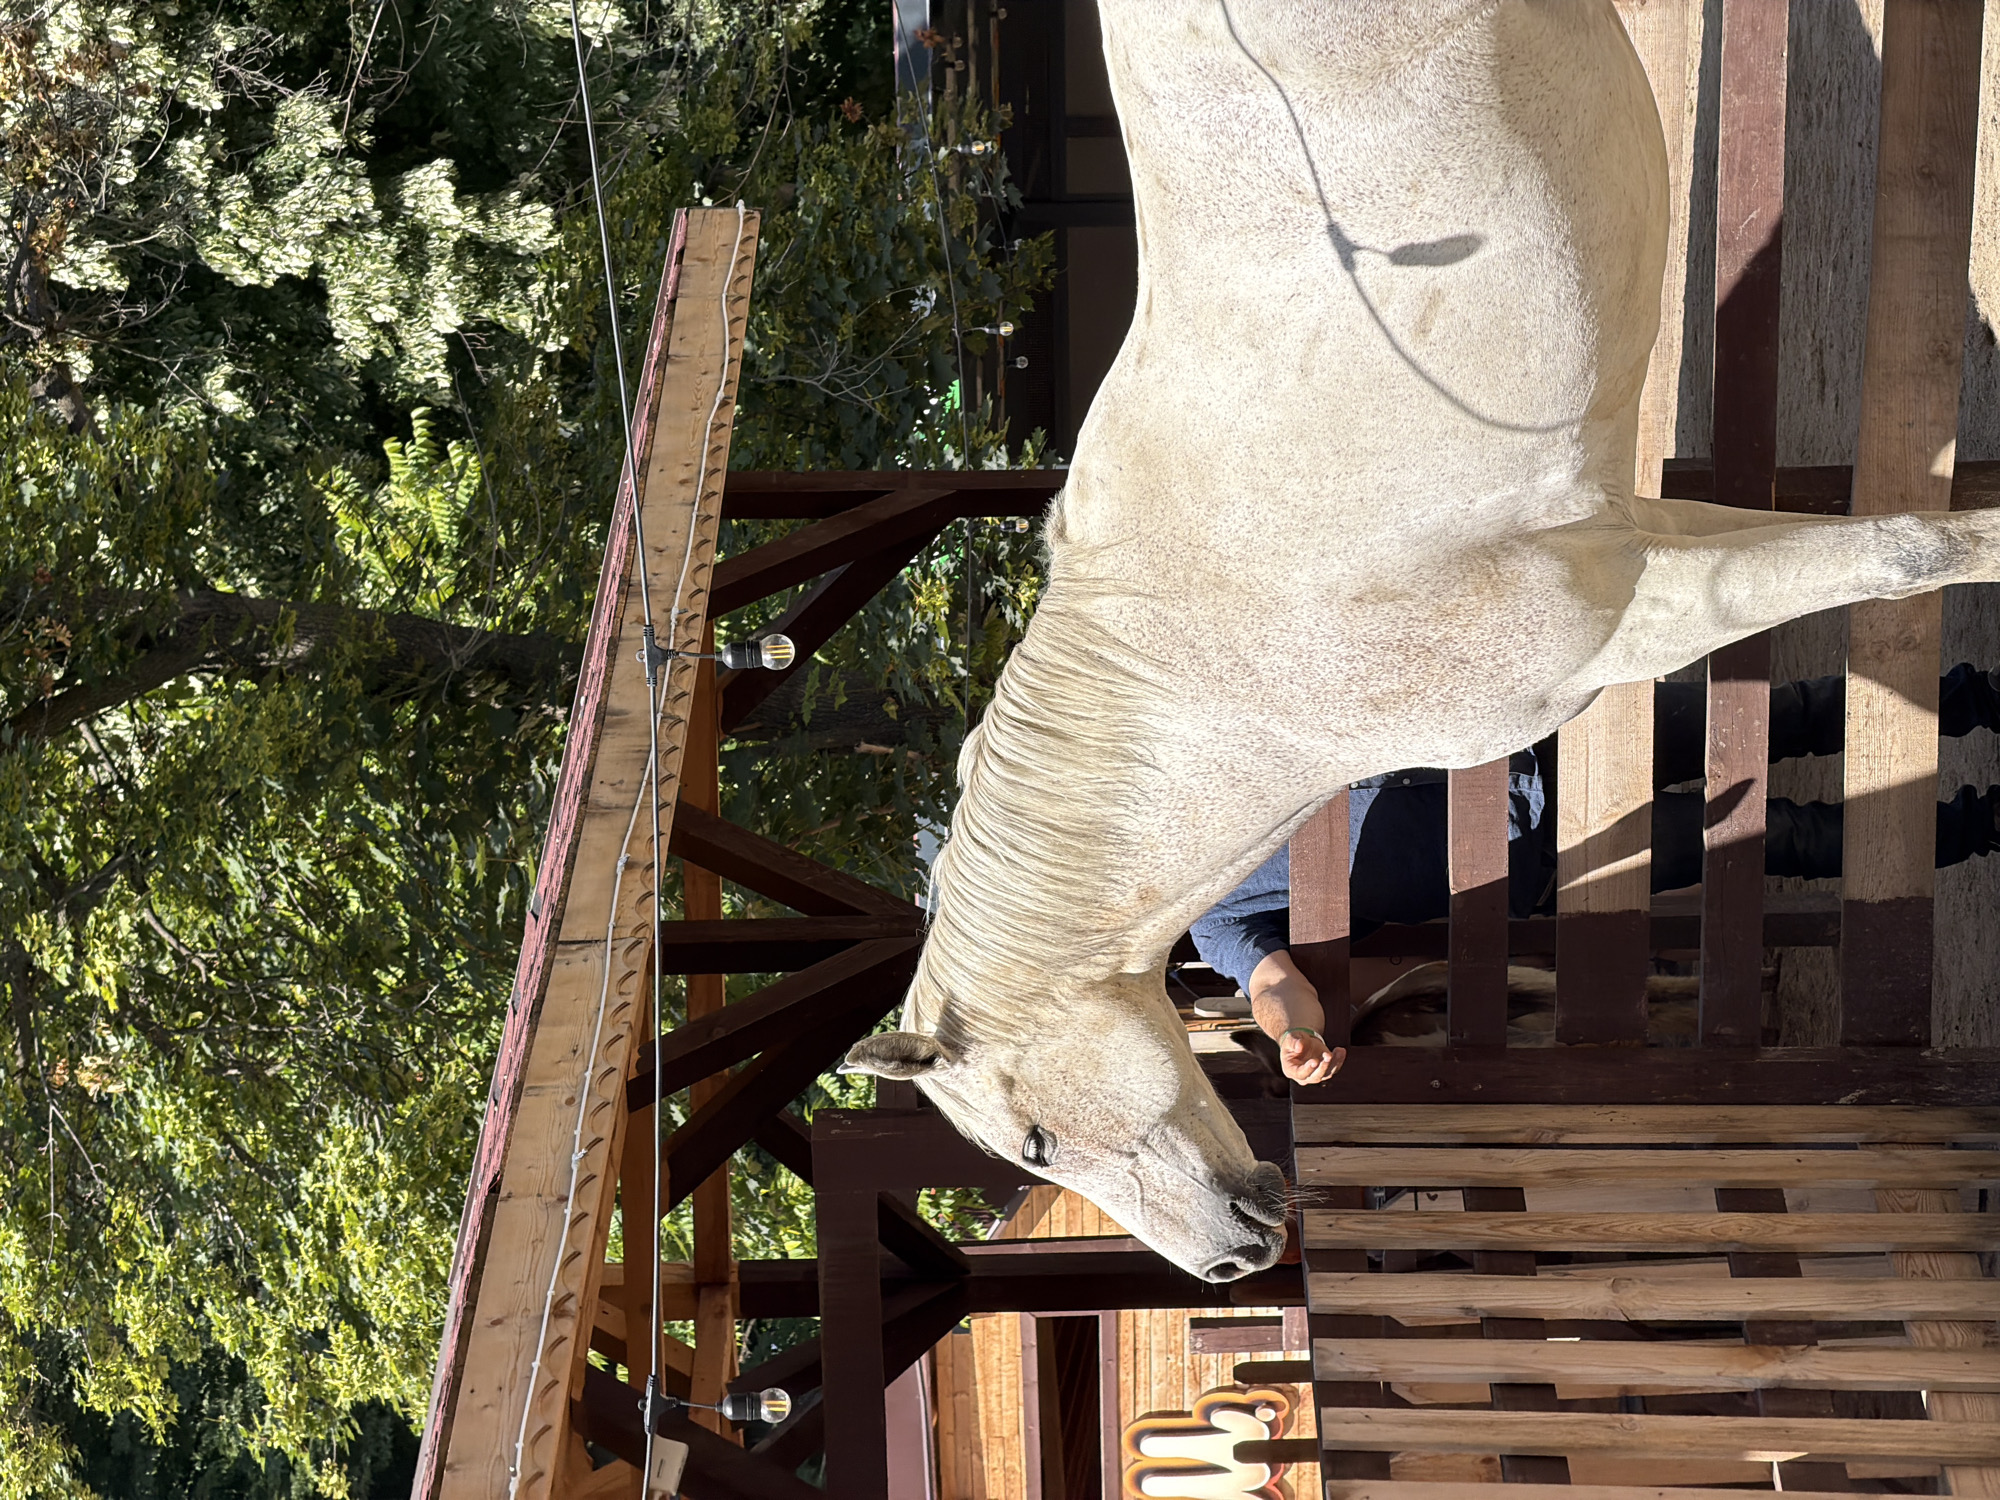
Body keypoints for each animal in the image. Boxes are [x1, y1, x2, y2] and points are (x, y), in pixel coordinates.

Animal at [839, 0, 2000, 1281]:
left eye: (1035, 1143)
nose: (1227, 1264)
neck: (1218, 678)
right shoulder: (1633, 548)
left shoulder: (1627, 602)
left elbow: (1906, 555)